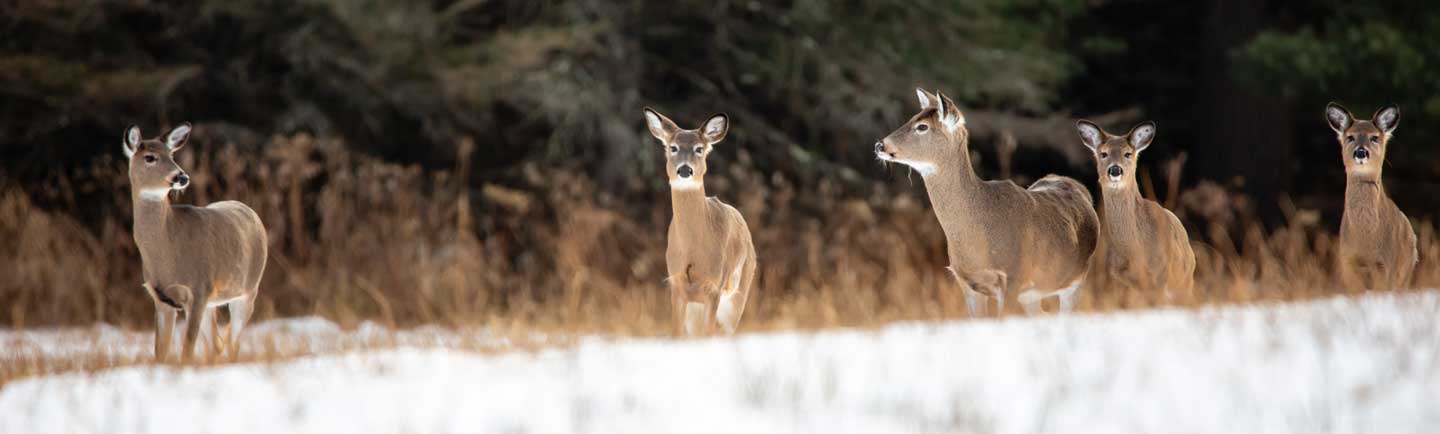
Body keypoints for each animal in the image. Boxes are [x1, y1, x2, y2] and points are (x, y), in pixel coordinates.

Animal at [123, 123, 267, 360]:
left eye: (172, 155)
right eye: (150, 157)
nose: (182, 177)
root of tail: (251, 212)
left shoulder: (199, 288)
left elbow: (187, 350)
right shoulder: (161, 299)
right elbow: (160, 352)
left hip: (248, 290)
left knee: (233, 344)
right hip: (213, 302)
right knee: (217, 344)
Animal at [639, 105, 754, 334]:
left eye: (699, 148)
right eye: (673, 147)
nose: (685, 169)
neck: (693, 250)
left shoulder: (714, 286)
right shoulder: (677, 284)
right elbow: (676, 334)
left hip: (738, 294)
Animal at [869, 87, 1094, 315]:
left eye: (922, 126)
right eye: (911, 118)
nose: (880, 145)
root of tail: (1074, 184)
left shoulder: (1014, 276)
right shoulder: (967, 283)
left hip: (1076, 280)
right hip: (1033, 295)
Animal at [1077, 118, 1198, 302]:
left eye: (1128, 154)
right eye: (1103, 153)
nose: (1115, 170)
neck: (1136, 253)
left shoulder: (1159, 277)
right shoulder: (1118, 283)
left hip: (1184, 283)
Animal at [1324, 102, 1416, 288]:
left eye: (1374, 137)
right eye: (1350, 137)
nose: (1361, 152)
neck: (1366, 239)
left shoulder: (1386, 264)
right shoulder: (1347, 263)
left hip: (1405, 271)